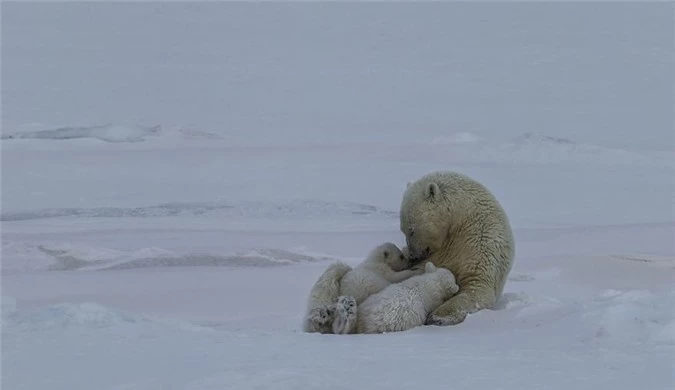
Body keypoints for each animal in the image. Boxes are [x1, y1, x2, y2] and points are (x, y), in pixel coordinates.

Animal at [402, 171, 516, 326]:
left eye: (411, 230)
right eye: (403, 230)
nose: (412, 257)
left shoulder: (479, 242)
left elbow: (476, 285)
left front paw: (438, 316)